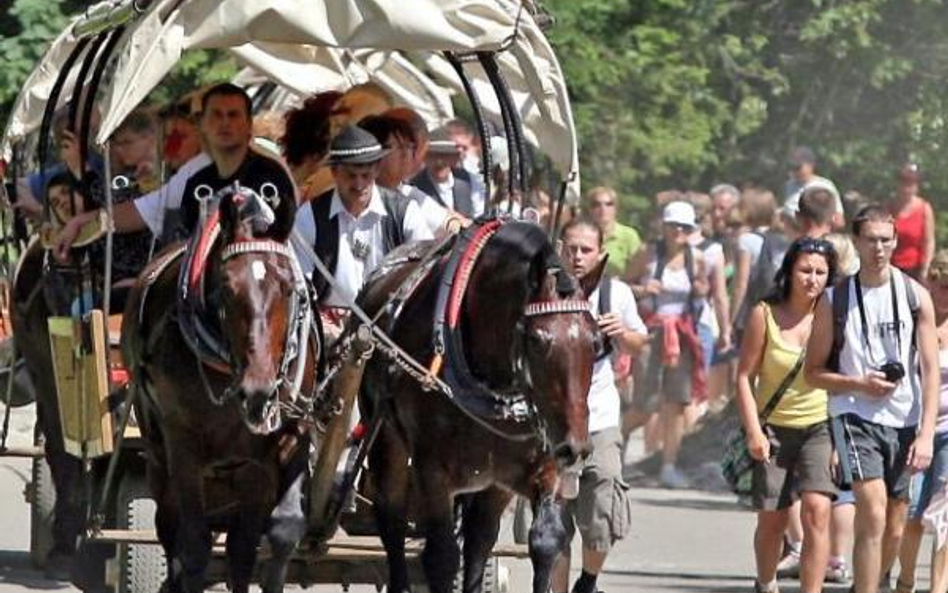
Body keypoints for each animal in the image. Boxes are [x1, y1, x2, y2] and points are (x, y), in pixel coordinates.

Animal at [122, 188, 318, 592]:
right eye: (226, 289)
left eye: (288, 287)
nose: (257, 393)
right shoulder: (183, 446)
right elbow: (194, 547)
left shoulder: (285, 439)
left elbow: (278, 533)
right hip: (158, 455)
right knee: (171, 528)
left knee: (239, 550)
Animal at [356, 220, 600, 592]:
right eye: (536, 340)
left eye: (596, 342)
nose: (575, 448)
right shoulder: (432, 470)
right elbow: (441, 557)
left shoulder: (543, 466)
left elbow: (545, 542)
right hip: (386, 440)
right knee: (392, 521)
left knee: (480, 537)